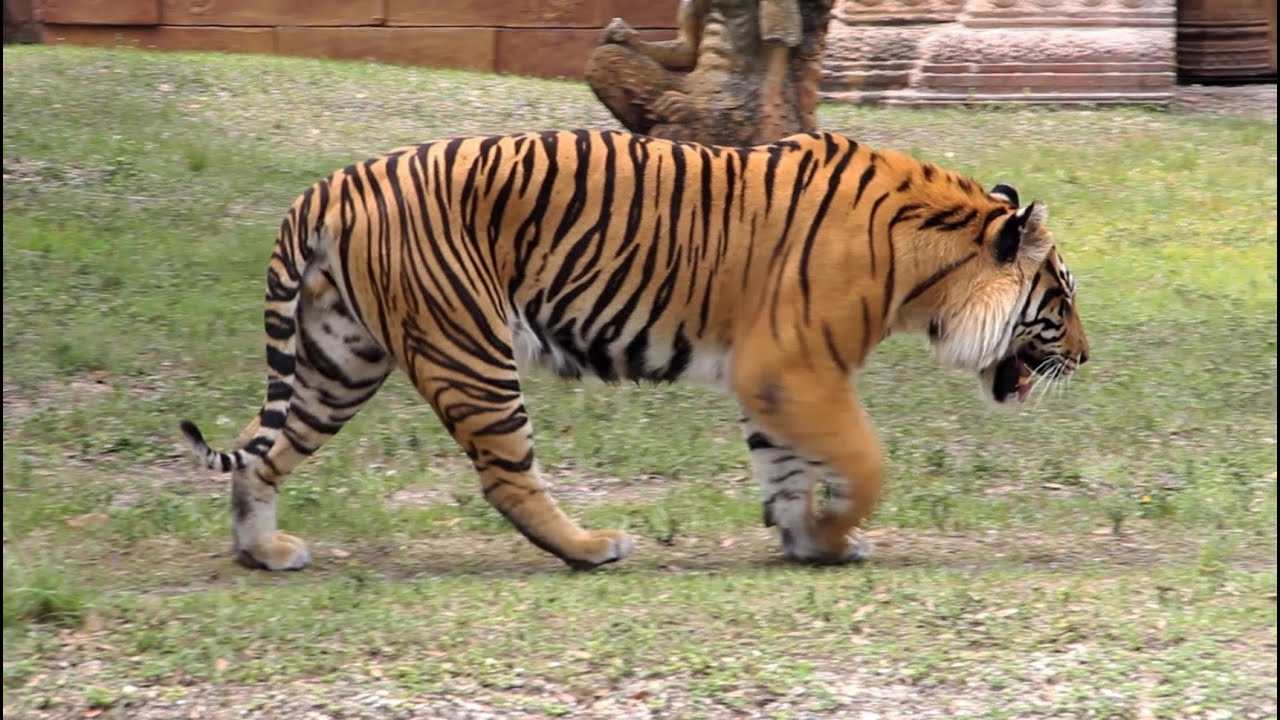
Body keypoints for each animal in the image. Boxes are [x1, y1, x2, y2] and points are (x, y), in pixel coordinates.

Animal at [178, 129, 1089, 571]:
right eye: (1063, 301)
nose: (1085, 358)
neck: (929, 267)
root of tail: (331, 184)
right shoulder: (793, 367)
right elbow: (865, 463)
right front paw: (838, 531)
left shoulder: (773, 379)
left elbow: (786, 470)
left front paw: (811, 544)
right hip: (470, 352)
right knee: (507, 478)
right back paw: (591, 550)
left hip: (339, 359)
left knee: (264, 452)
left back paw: (263, 553)